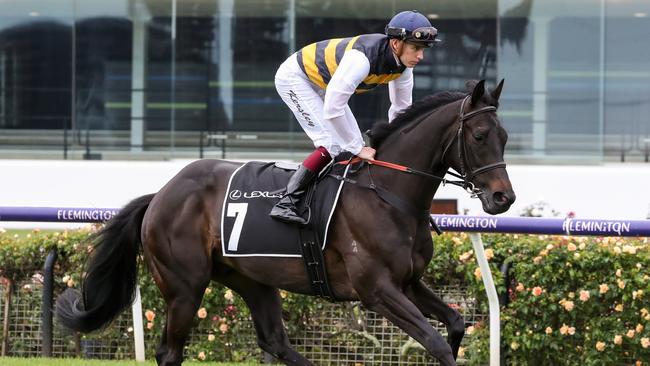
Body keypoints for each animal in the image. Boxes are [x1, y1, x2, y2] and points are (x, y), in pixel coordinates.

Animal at [55, 78, 512, 364]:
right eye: (478, 136)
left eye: (504, 136)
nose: (503, 197)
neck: (387, 192)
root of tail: (160, 196)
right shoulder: (377, 290)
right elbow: (436, 343)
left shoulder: (408, 282)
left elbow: (455, 324)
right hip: (185, 286)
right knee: (170, 352)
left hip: (252, 279)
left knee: (275, 342)